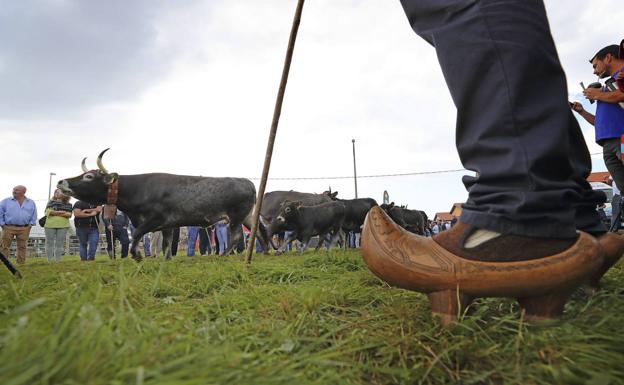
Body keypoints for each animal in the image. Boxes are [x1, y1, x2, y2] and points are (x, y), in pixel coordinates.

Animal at [58, 148, 270, 260]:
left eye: (89, 176)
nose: (61, 182)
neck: (138, 189)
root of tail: (247, 182)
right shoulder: (168, 226)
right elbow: (166, 245)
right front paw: (165, 259)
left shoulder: (155, 220)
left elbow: (137, 234)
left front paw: (137, 256)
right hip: (247, 216)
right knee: (260, 230)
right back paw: (267, 250)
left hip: (235, 217)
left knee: (236, 237)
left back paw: (224, 254)